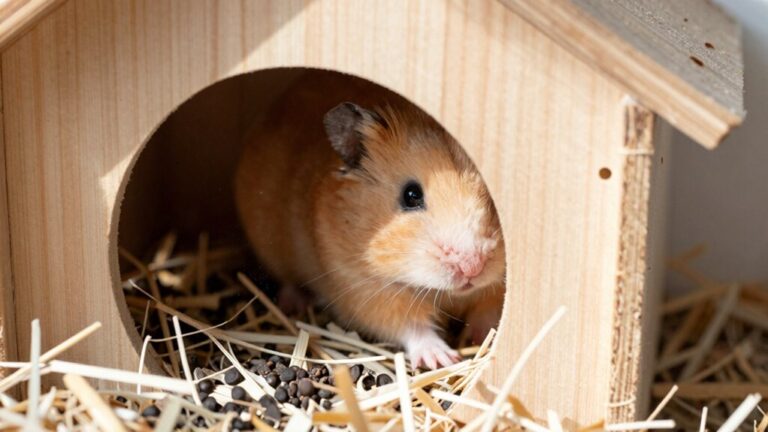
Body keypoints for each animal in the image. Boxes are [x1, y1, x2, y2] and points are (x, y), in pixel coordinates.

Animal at [235, 73, 505, 369]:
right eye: (411, 195)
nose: (472, 268)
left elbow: (489, 313)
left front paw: (483, 339)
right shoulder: (363, 287)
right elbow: (411, 326)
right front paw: (442, 359)